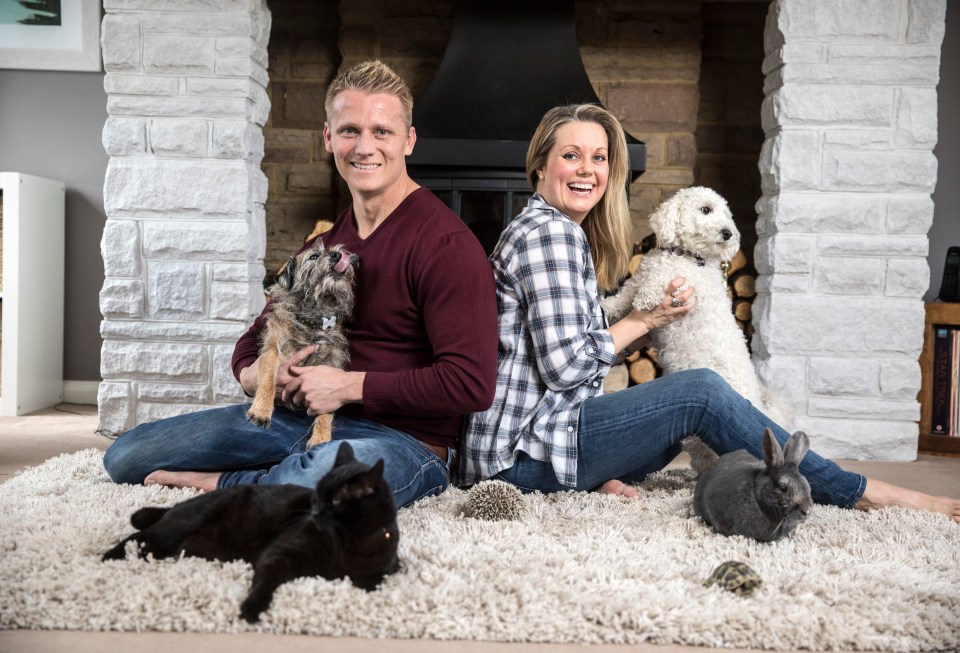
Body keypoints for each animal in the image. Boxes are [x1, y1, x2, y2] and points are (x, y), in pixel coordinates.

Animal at [104, 444, 402, 620]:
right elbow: (266, 582)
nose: (314, 511)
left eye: (337, 500)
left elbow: (369, 582)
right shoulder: (281, 553)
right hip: (182, 524)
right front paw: (252, 609)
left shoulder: (382, 573)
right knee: (140, 537)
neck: (350, 543)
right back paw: (109, 556)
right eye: (317, 493)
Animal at [604, 186, 776, 416]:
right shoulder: (639, 277)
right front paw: (607, 306)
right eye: (706, 209)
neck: (684, 255)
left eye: (726, 215)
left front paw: (646, 296)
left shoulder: (691, 284)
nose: (728, 233)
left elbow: (663, 279)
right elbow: (624, 295)